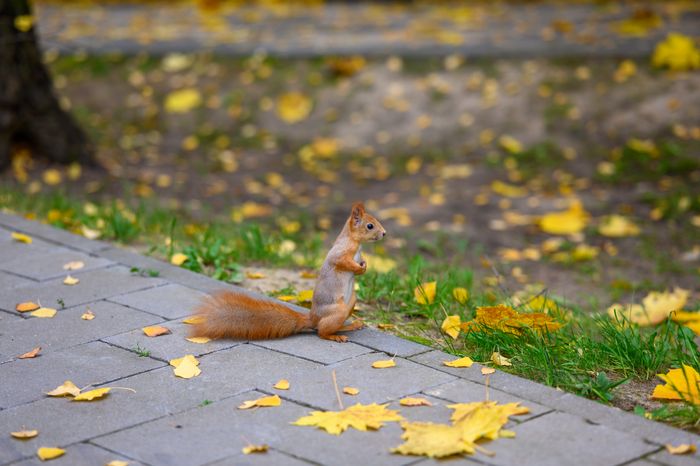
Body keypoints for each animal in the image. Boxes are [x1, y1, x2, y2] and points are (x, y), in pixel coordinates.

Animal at [190, 202, 386, 343]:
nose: (384, 233)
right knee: (321, 331)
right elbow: (342, 262)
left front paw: (364, 265)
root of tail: (312, 318)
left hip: (351, 302)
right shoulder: (339, 254)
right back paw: (335, 336)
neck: (356, 244)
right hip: (337, 311)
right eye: (370, 226)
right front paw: (359, 267)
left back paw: (351, 326)